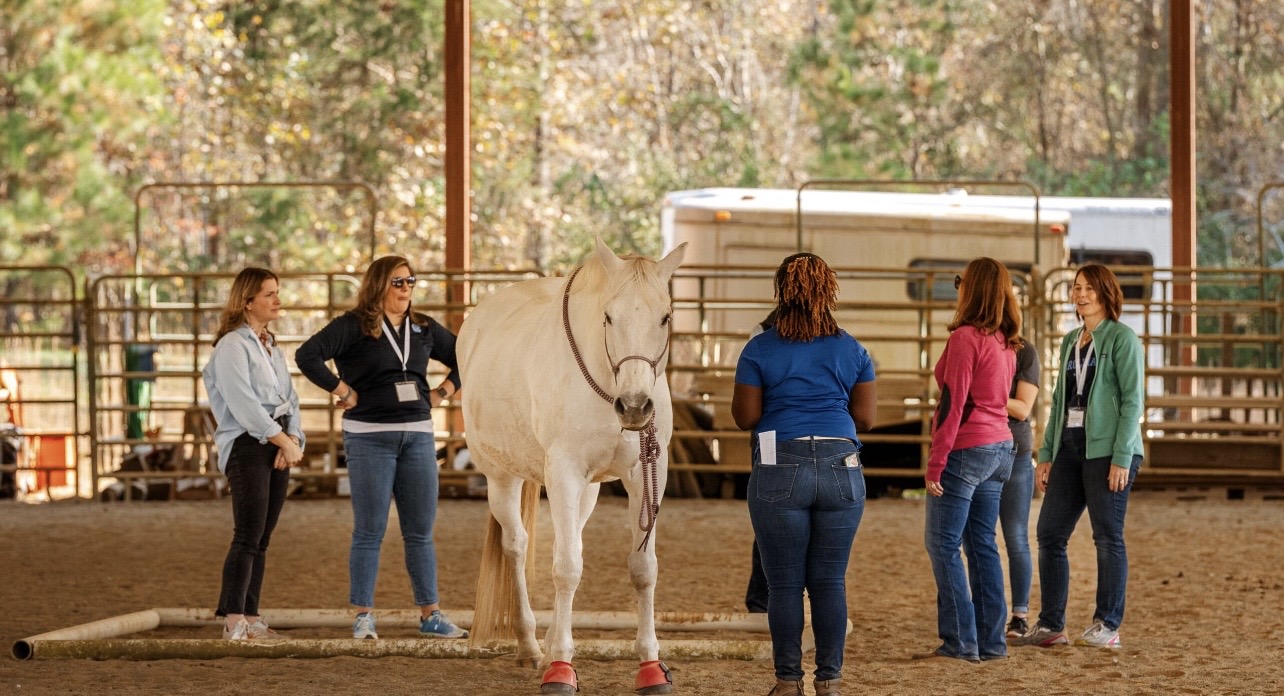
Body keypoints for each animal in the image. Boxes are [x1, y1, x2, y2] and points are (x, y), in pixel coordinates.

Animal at [457, 237, 686, 695]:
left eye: (665, 316)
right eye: (609, 317)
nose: (635, 407)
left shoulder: (646, 474)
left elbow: (643, 569)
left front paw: (651, 666)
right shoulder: (562, 472)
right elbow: (566, 569)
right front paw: (561, 667)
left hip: (588, 490)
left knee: (571, 539)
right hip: (501, 477)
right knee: (517, 545)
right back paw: (530, 646)